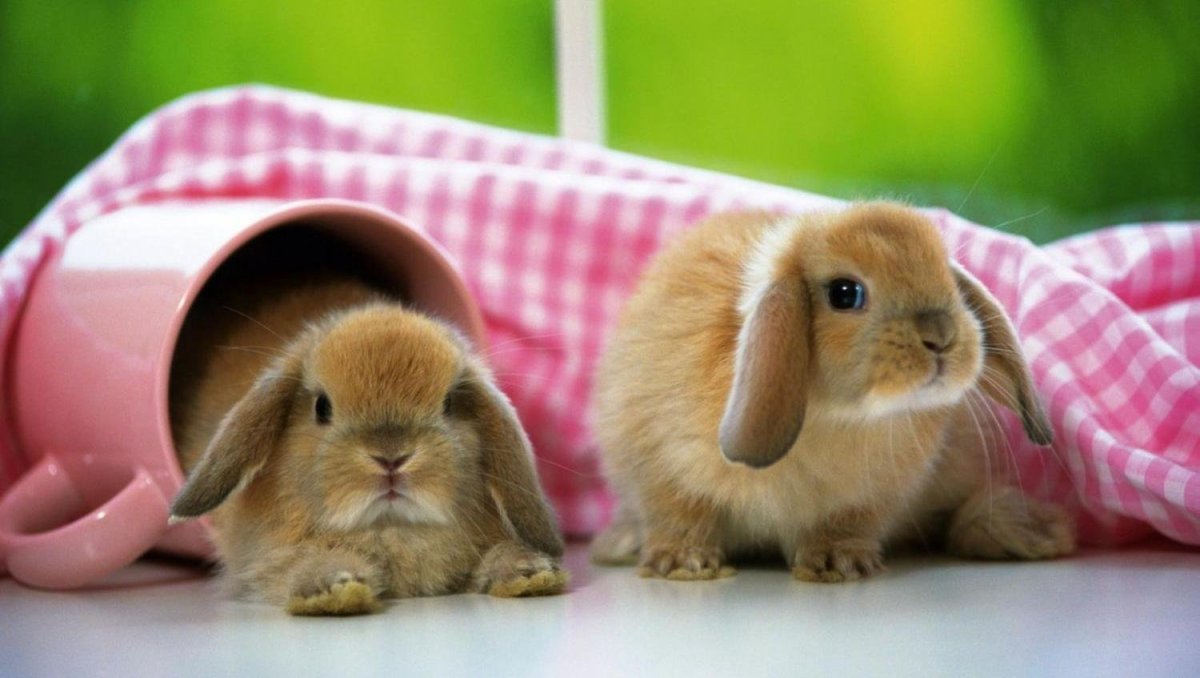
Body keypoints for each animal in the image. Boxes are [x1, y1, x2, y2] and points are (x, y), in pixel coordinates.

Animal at [168, 276, 567, 615]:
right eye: (321, 407)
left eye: (449, 403)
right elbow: (299, 567)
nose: (391, 457)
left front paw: (530, 572)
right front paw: (334, 587)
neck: (390, 527)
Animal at [590, 203, 1075, 583]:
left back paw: (1029, 533)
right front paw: (683, 563)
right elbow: (680, 515)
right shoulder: (659, 467)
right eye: (845, 293)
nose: (941, 336)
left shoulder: (870, 499)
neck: (835, 416)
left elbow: (846, 524)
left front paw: (838, 564)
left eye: (948, 282)